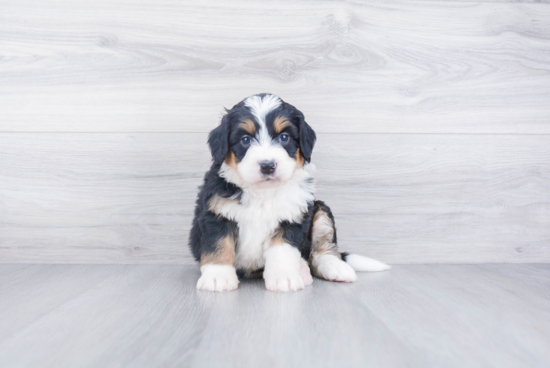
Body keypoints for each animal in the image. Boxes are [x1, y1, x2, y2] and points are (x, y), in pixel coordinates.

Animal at [192, 93, 390, 292]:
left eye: (284, 137)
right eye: (246, 140)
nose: (267, 165)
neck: (263, 192)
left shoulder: (293, 217)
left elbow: (283, 251)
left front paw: (284, 278)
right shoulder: (216, 214)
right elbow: (218, 246)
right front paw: (218, 277)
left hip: (320, 209)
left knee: (321, 250)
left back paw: (331, 268)